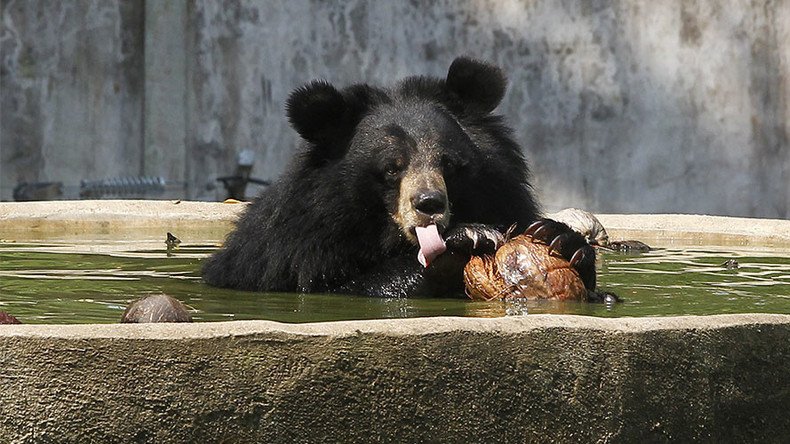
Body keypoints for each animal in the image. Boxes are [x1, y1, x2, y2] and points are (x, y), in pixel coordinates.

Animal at [201, 56, 596, 298]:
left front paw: (558, 237)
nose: (429, 203)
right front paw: (466, 238)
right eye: (392, 167)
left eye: (449, 164)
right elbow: (351, 287)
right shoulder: (294, 252)